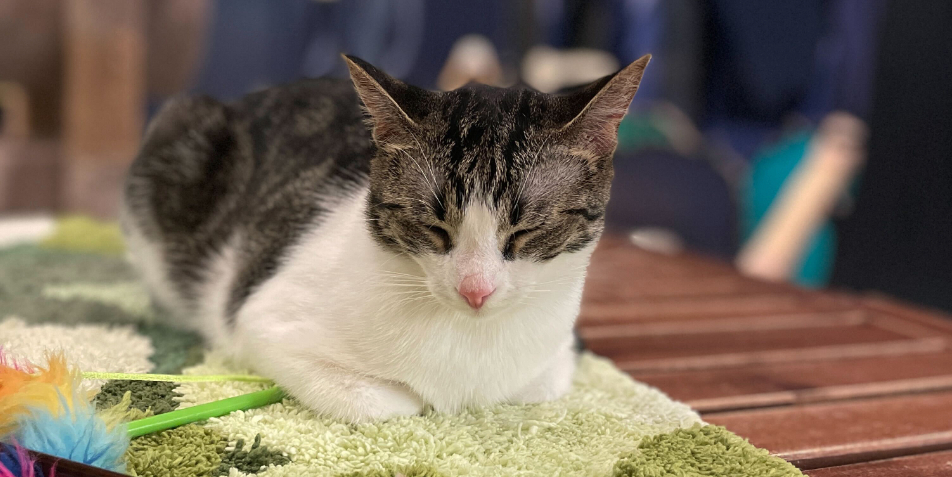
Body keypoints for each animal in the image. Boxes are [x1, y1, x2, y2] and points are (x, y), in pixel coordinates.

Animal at [122, 54, 652, 422]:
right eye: (434, 227)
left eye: (526, 231)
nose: (475, 291)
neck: (470, 340)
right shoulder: (261, 320)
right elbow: (388, 401)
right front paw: (417, 399)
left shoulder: (558, 355)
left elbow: (536, 384)